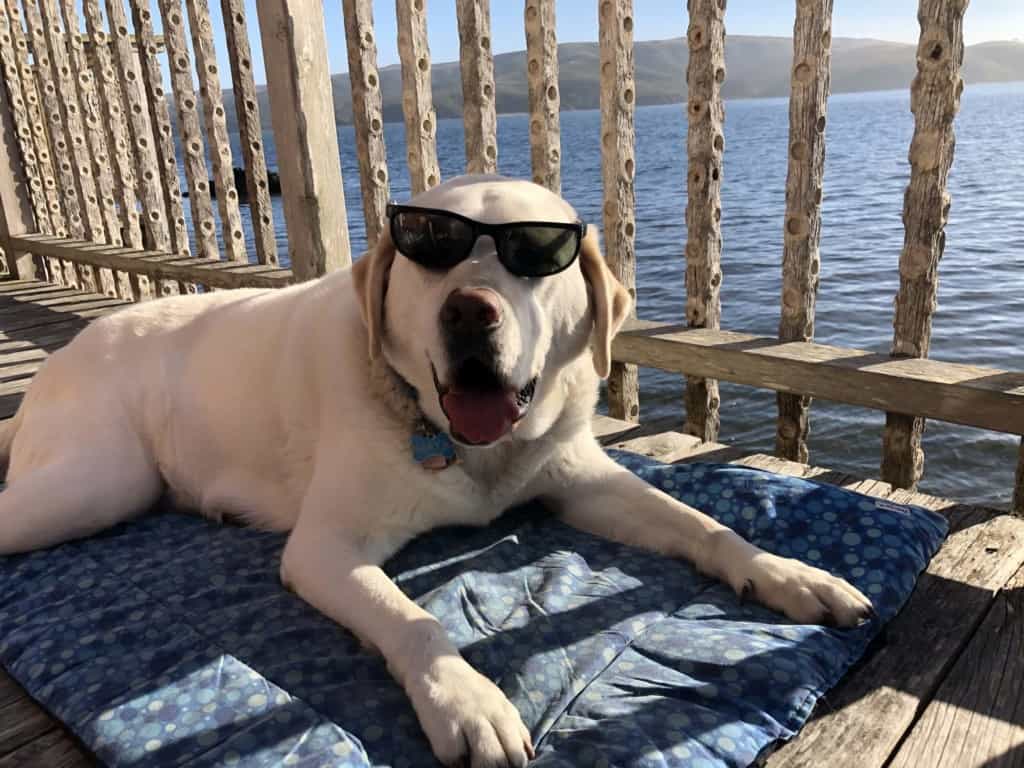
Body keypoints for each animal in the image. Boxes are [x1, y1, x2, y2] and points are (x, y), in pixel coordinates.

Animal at [0, 176, 872, 768]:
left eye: (536, 258)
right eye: (428, 251)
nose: (469, 311)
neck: (472, 448)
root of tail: (72, 352)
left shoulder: (582, 479)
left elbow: (705, 524)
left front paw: (790, 573)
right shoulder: (324, 548)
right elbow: (416, 621)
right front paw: (469, 702)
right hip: (98, 483)